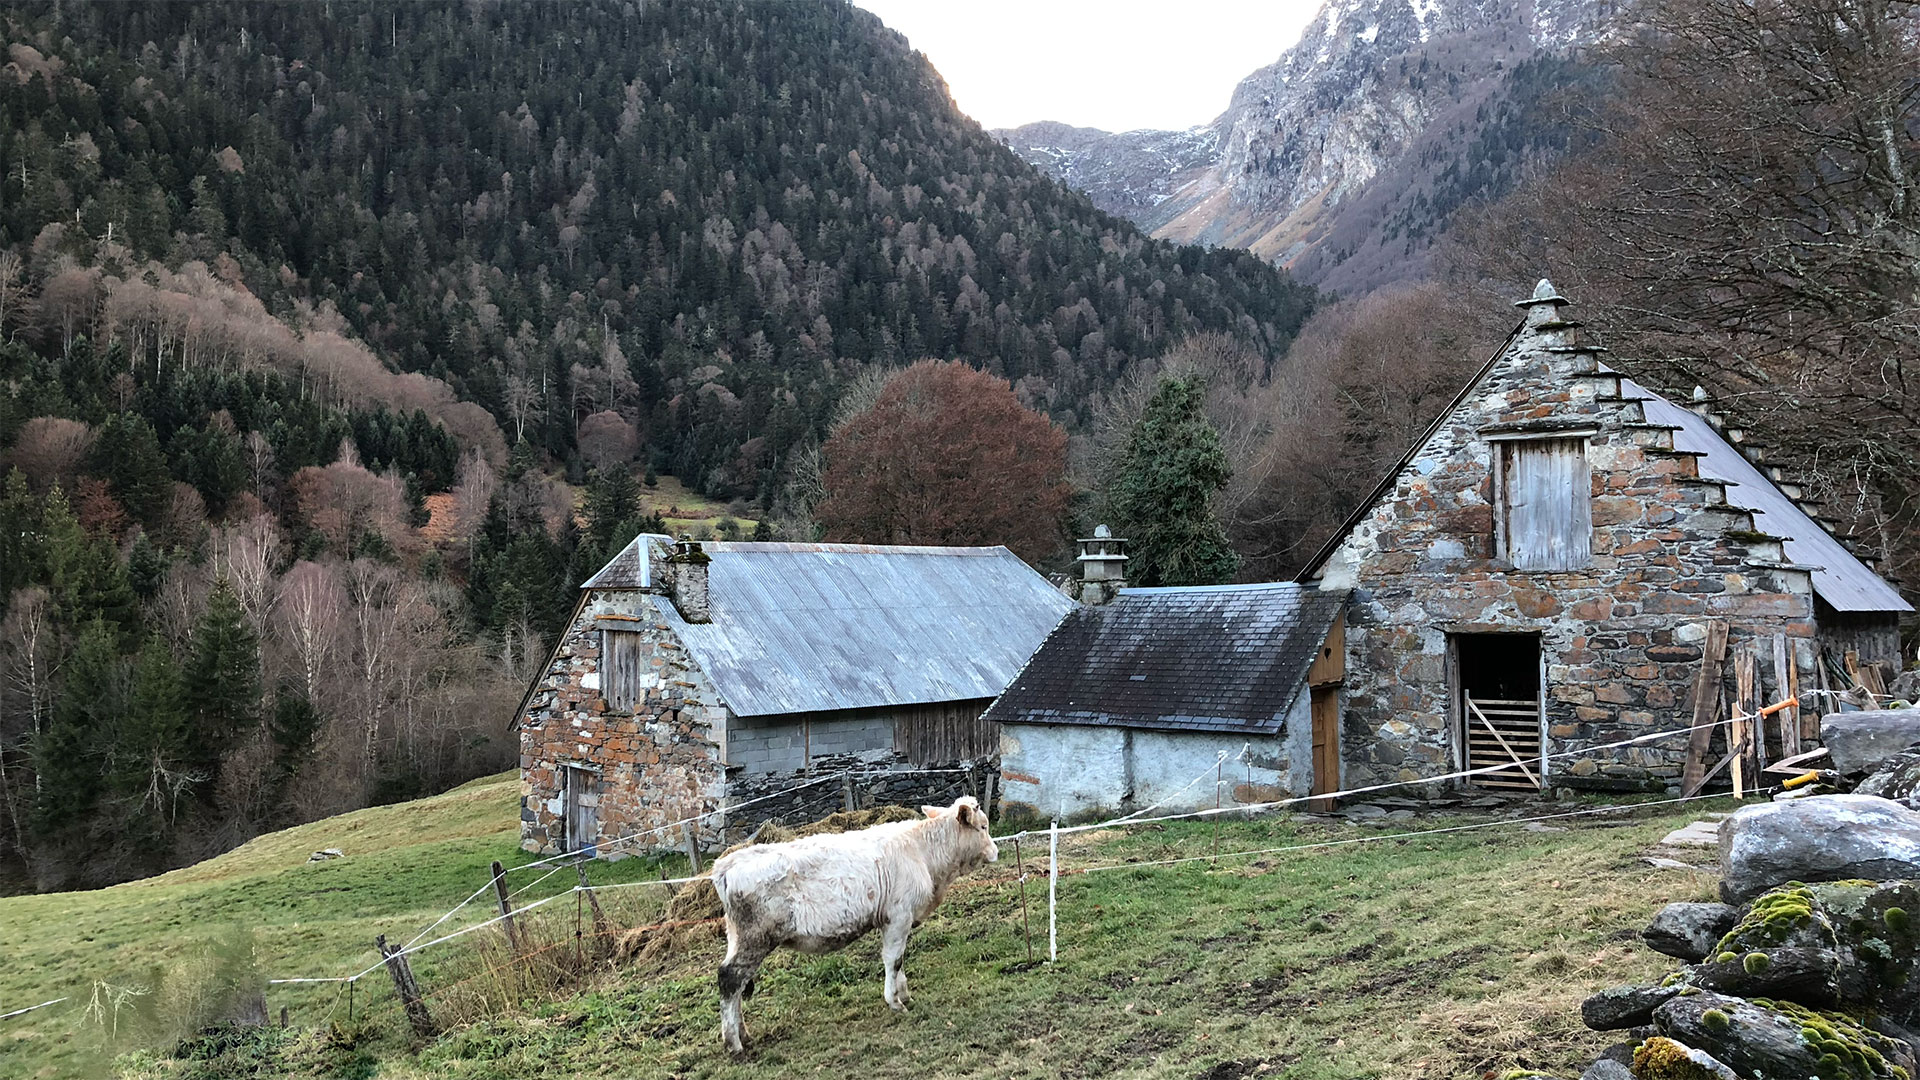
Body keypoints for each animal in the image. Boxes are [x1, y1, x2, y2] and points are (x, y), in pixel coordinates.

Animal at [710, 791, 1006, 1053]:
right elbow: (893, 959)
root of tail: (729, 863)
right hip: (755, 938)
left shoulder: (896, 920)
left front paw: (903, 993)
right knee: (729, 979)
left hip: (738, 937)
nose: (996, 852)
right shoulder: (899, 915)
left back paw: (744, 1035)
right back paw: (734, 1043)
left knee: (737, 984)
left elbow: (898, 959)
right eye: (983, 826)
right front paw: (895, 1002)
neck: (922, 852)